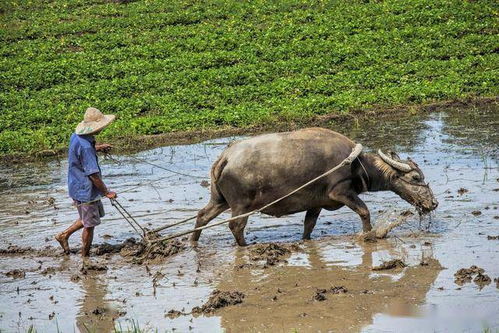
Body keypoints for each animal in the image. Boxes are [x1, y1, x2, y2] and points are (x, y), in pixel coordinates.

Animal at [191, 127, 438, 244]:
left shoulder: (316, 203)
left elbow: (309, 225)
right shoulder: (341, 192)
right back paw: (245, 245)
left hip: (219, 200)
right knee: (236, 226)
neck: (356, 164)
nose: (433, 203)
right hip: (241, 205)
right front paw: (368, 235)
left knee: (203, 215)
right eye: (416, 178)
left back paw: (194, 241)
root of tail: (226, 157)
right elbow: (364, 211)